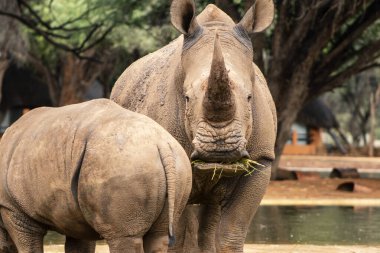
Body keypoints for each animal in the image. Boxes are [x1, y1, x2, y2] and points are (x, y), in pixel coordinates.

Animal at [0, 99, 190, 253]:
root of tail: (161, 144)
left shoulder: (14, 209)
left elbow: (27, 246)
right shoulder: (73, 217)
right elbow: (79, 246)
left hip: (123, 162)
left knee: (124, 237)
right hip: (177, 165)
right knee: (159, 235)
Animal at [110, 0, 276, 251]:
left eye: (249, 97)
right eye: (186, 98)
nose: (220, 147)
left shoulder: (261, 158)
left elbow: (233, 230)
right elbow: (177, 229)